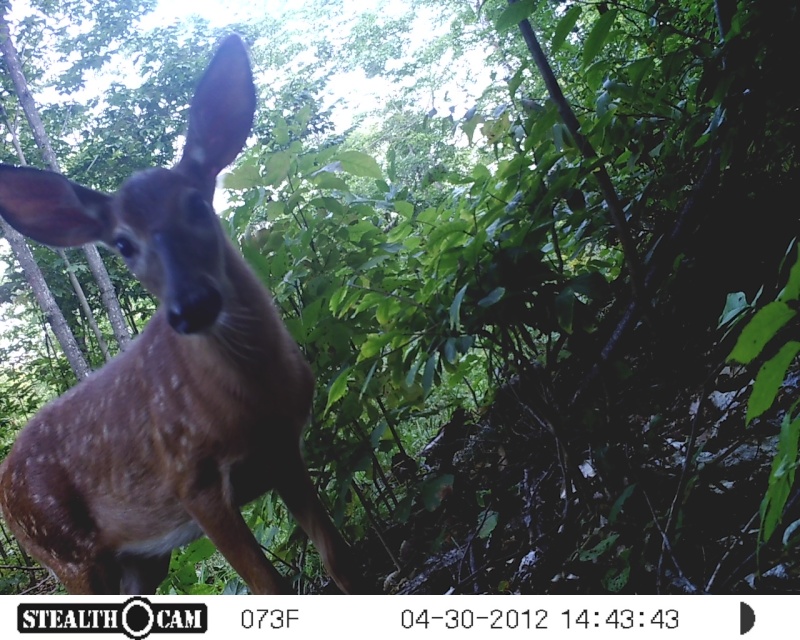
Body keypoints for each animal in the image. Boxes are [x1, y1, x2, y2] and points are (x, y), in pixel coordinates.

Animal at [0, 33, 360, 596]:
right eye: (122, 243)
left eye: (196, 203)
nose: (190, 304)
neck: (252, 400)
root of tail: (1, 487)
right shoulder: (192, 480)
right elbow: (270, 586)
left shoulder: (285, 451)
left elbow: (339, 560)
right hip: (69, 553)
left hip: (142, 559)